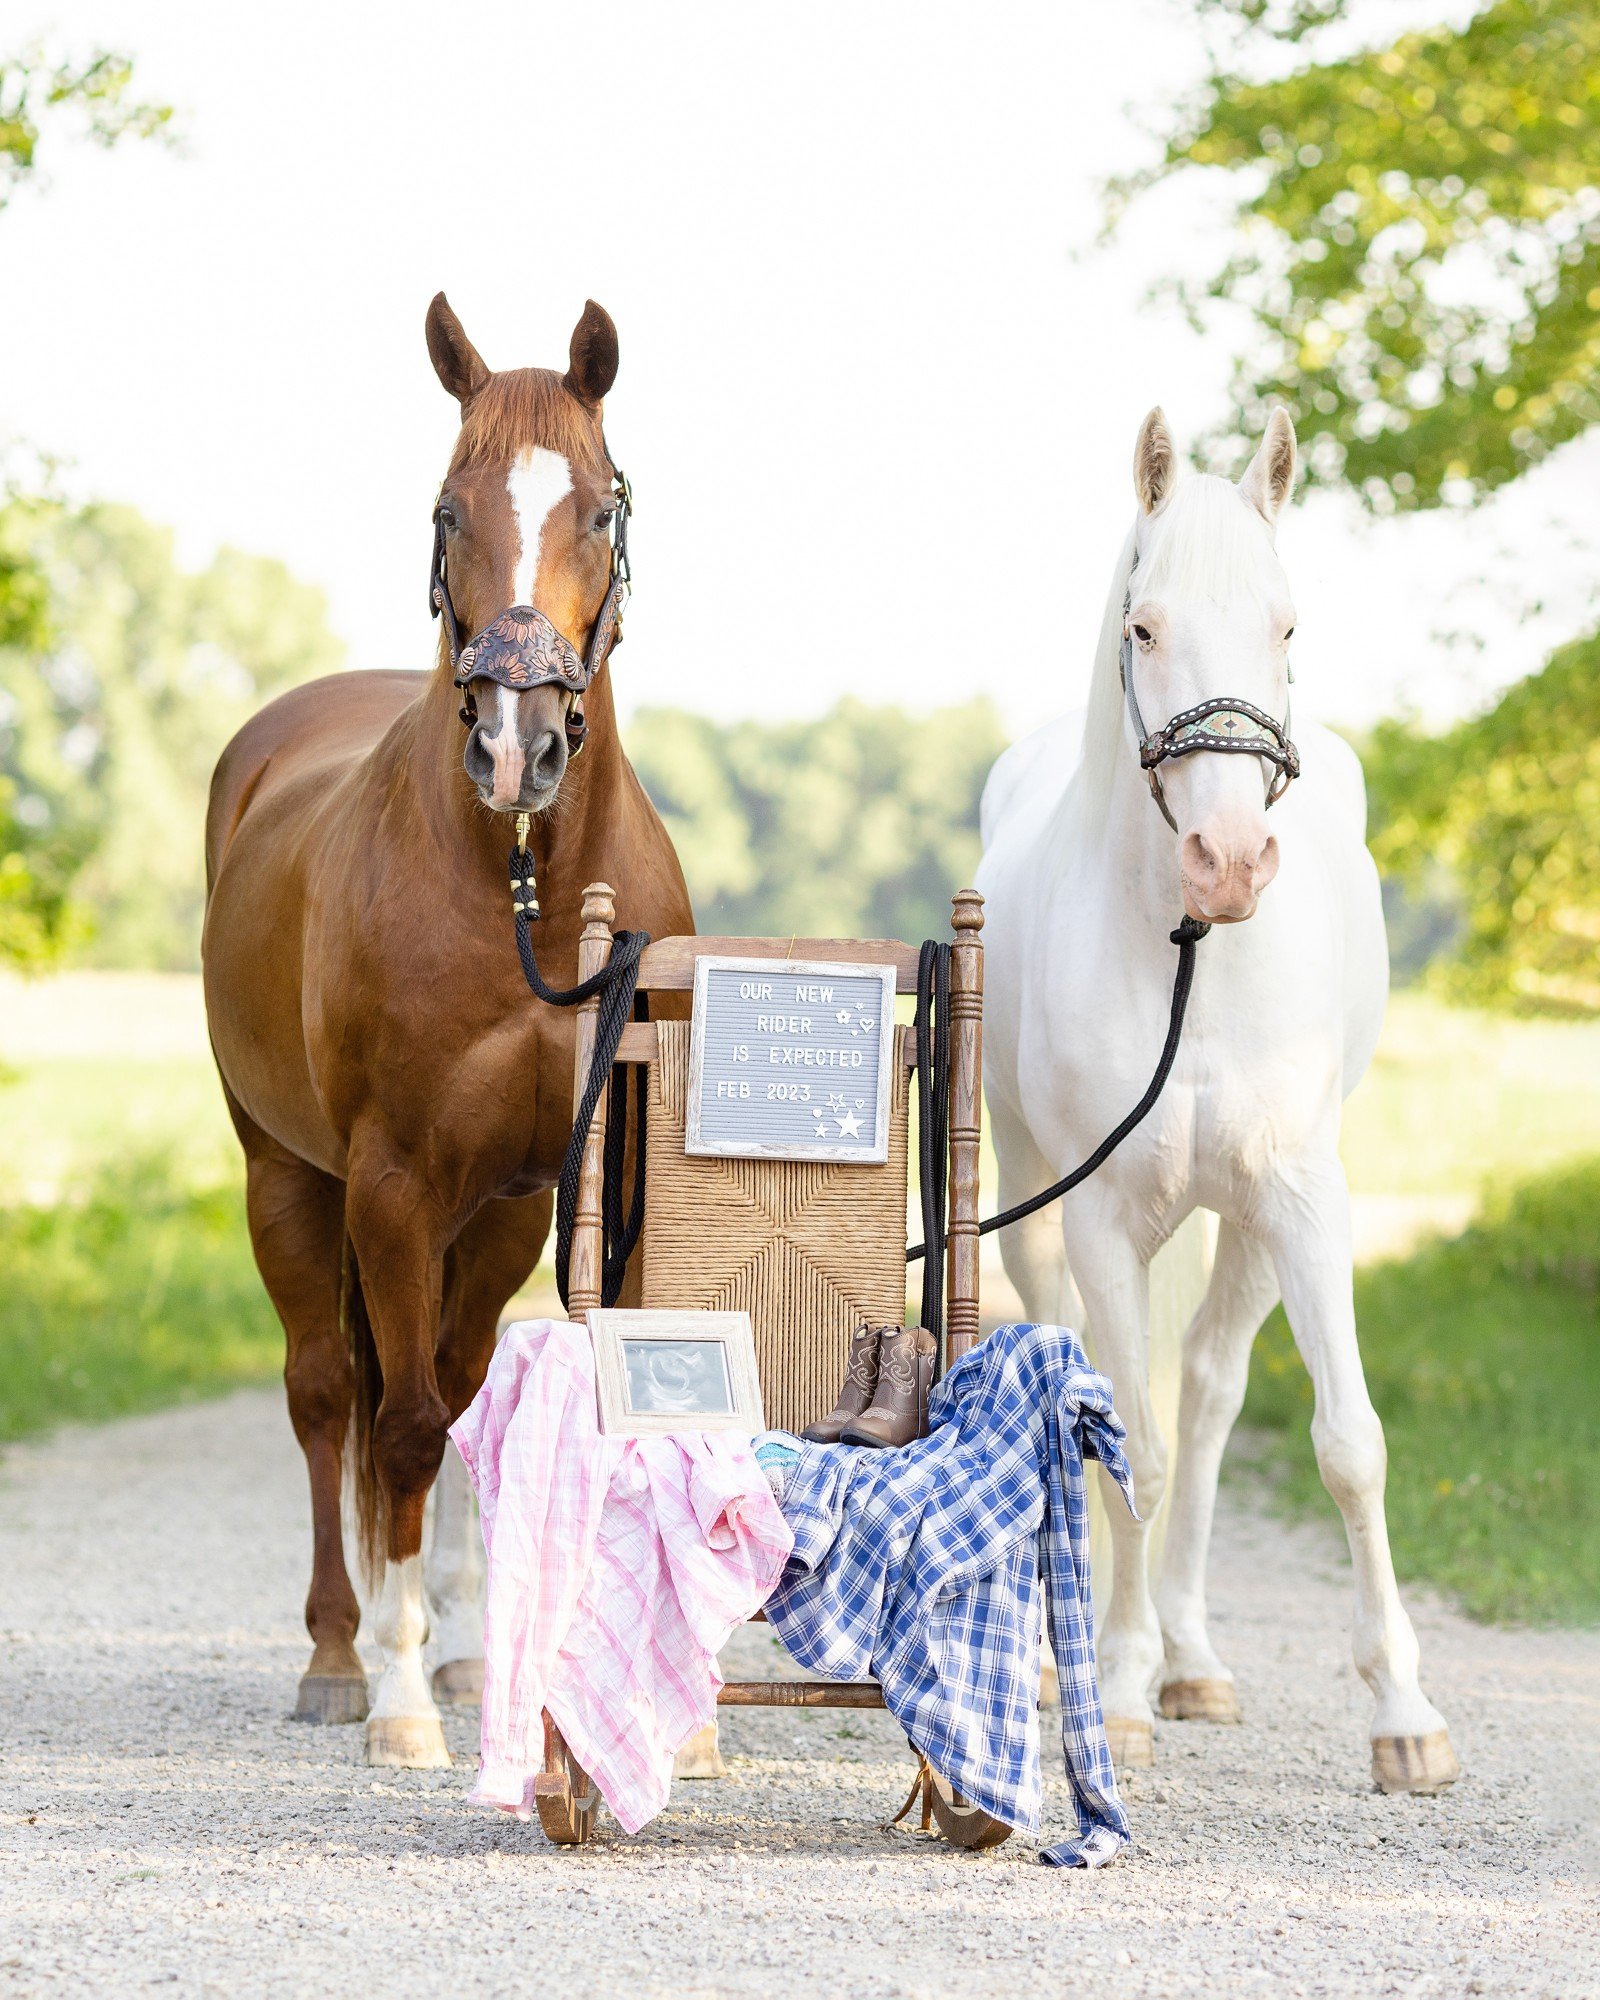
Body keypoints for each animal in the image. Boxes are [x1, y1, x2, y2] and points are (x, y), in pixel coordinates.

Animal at [202, 292, 692, 1768]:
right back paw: (339, 1656)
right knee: (326, 1395)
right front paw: (404, 1700)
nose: (516, 747)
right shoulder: (395, 1183)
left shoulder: (543, 1186)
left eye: (598, 504)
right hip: (287, 1178)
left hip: (485, 1213)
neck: (516, 879)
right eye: (446, 508)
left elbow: (472, 1403)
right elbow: (405, 1420)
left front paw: (479, 1669)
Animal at [976, 406, 1464, 1800]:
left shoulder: (1301, 1201)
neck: (1190, 953)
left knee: (1206, 1391)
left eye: (1287, 626)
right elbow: (1125, 1441)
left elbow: (1346, 1441)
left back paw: (1191, 1656)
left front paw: (1404, 1713)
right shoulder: (1096, 1220)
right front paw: (1116, 1692)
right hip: (1031, 1210)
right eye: (1142, 626)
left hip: (1241, 1225)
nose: (1231, 861)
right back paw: (1090, 1659)